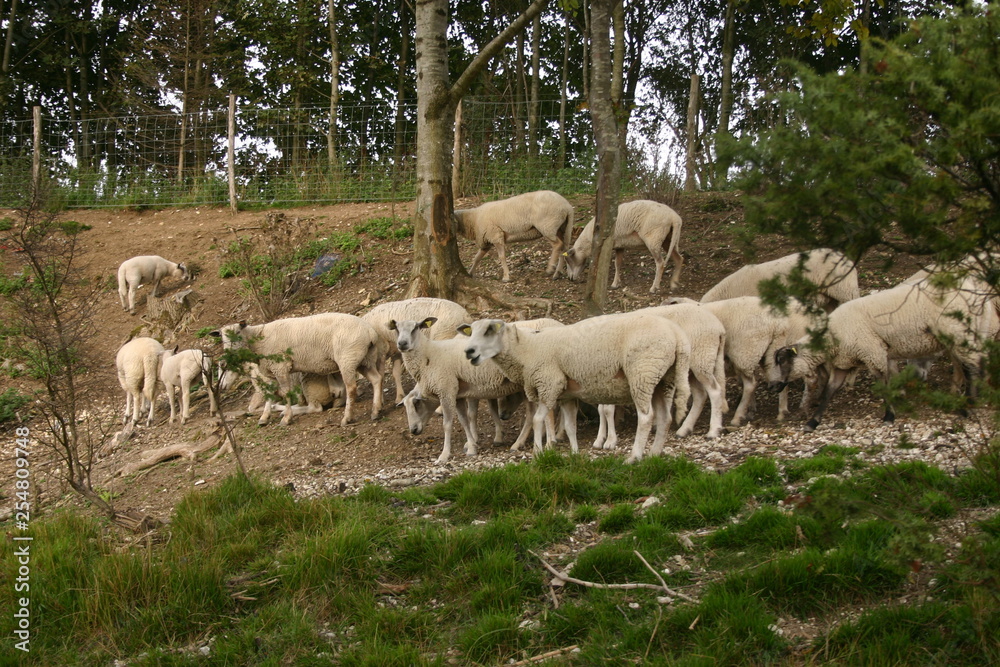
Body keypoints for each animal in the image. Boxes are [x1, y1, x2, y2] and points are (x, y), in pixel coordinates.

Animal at [213, 313, 384, 427]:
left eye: (237, 333)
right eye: (222, 337)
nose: (228, 355)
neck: (258, 340)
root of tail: (370, 332)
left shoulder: (281, 367)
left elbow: (285, 393)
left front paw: (286, 418)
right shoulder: (270, 371)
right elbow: (270, 394)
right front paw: (264, 417)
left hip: (347, 359)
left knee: (350, 389)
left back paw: (347, 418)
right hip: (365, 359)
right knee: (376, 379)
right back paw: (376, 411)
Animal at [459, 312, 691, 463]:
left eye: (489, 330)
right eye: (472, 331)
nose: (468, 352)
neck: (527, 350)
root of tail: (677, 335)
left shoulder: (549, 384)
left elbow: (537, 420)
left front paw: (538, 452)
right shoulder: (566, 394)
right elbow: (570, 426)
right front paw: (574, 454)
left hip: (642, 372)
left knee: (646, 417)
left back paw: (634, 457)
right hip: (663, 379)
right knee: (665, 418)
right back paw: (654, 455)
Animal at [667, 296, 817, 425]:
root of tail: (778, 324)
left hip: (744, 352)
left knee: (752, 384)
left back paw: (737, 417)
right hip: (772, 350)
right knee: (779, 377)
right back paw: (782, 412)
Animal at [769, 277, 992, 431]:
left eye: (783, 362)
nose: (773, 386)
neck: (831, 338)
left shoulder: (872, 352)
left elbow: (883, 386)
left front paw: (889, 417)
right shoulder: (844, 361)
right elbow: (829, 392)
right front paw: (813, 422)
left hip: (958, 332)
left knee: (972, 368)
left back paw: (969, 407)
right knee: (974, 364)